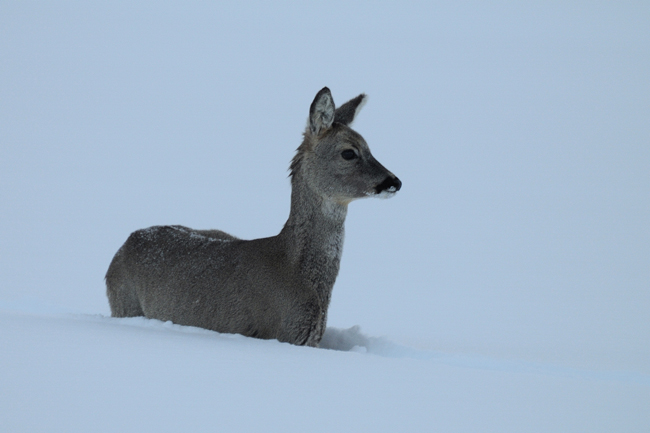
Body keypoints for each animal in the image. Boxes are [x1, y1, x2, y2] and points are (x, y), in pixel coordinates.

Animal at [105, 86, 400, 346]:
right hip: (125, 302)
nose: (394, 181)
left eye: (370, 147)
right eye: (349, 152)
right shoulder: (278, 333)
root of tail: (125, 245)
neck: (295, 274)